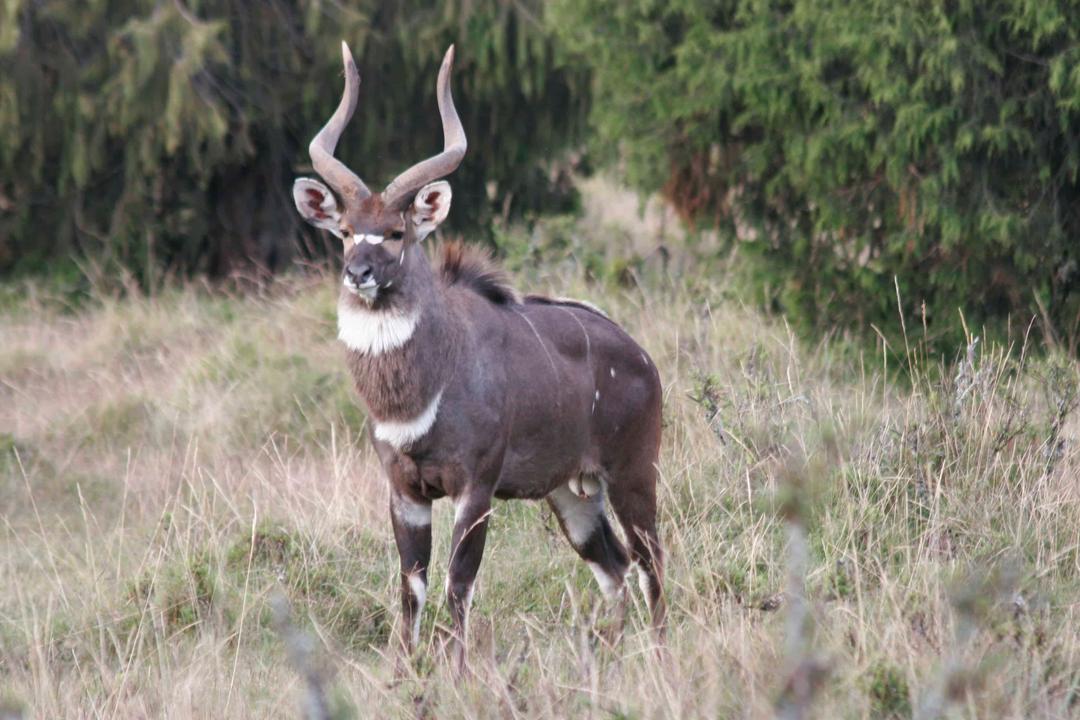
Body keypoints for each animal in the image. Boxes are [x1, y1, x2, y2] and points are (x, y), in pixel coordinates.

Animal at [295, 40, 665, 669]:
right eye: (344, 231)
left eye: (396, 232)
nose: (358, 273)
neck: (427, 386)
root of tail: (644, 359)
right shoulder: (405, 490)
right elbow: (412, 586)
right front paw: (404, 671)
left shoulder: (476, 486)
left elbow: (458, 582)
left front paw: (457, 671)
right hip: (573, 494)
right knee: (614, 568)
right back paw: (609, 656)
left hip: (633, 474)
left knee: (651, 565)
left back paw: (662, 651)